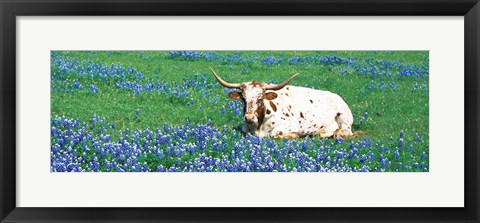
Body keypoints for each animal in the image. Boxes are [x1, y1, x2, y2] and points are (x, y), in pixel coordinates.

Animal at [212, 67, 362, 139]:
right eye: (243, 98)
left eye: (260, 98)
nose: (249, 117)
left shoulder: (288, 126)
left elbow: (275, 134)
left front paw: (295, 135)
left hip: (343, 119)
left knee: (343, 132)